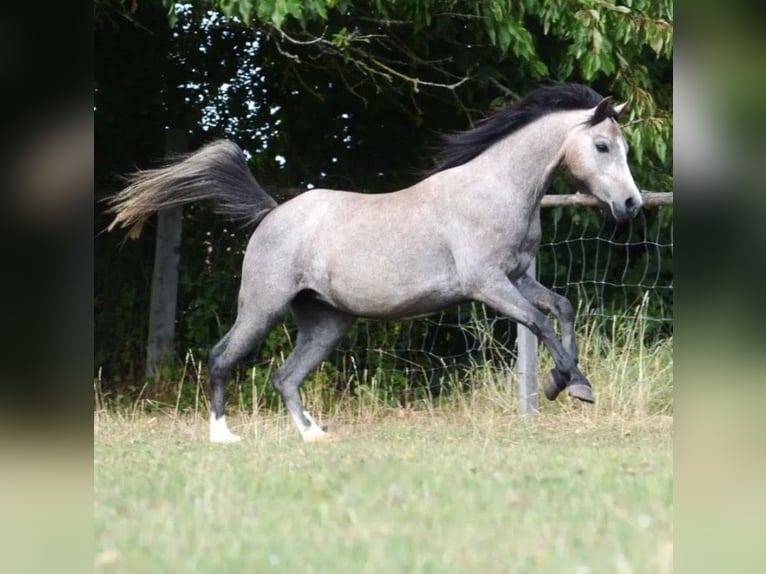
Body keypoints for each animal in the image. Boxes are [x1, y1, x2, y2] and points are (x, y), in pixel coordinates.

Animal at [111, 82, 644, 446]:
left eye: (625, 147)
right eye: (602, 146)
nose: (631, 205)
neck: (494, 190)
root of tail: (271, 212)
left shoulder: (516, 278)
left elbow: (563, 308)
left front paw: (573, 382)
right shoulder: (488, 284)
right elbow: (539, 322)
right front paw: (568, 386)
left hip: (326, 322)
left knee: (285, 377)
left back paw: (313, 435)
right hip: (263, 307)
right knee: (223, 358)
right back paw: (223, 436)